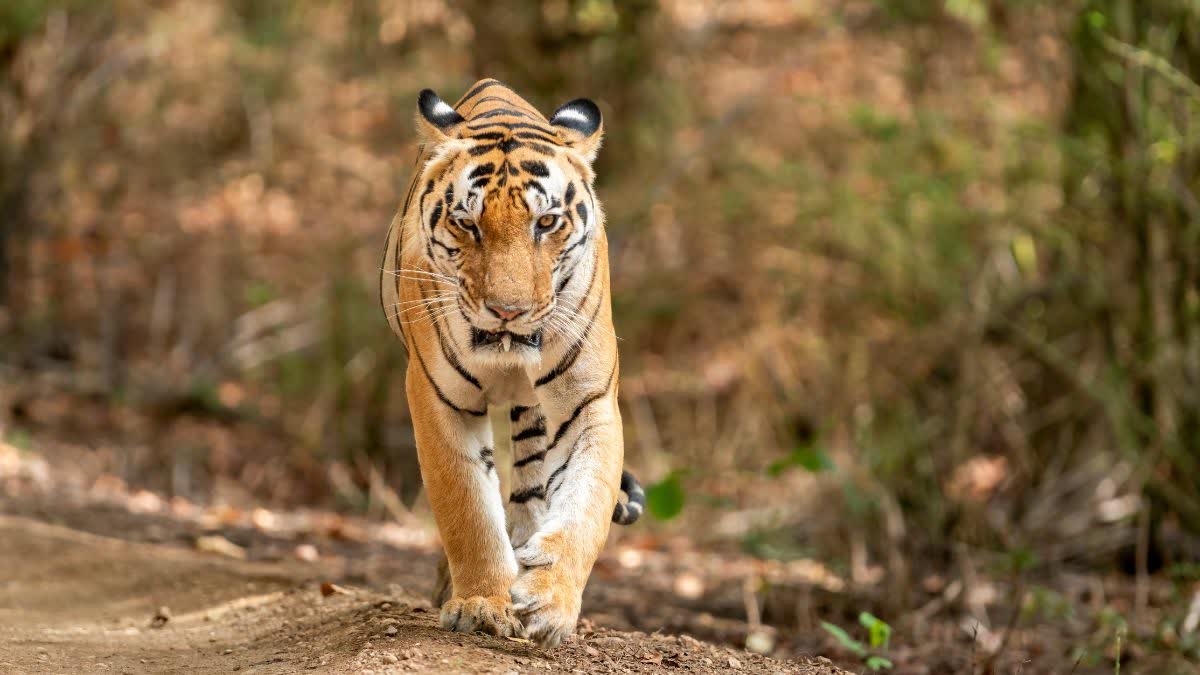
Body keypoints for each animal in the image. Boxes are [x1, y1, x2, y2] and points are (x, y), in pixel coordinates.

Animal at [379, 79, 645, 648]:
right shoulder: (438, 398)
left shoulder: (588, 401)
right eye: (467, 223)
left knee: (530, 487)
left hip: (533, 414)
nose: (508, 311)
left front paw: (549, 602)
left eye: (546, 222)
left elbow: (584, 508)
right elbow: (467, 507)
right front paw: (483, 603)